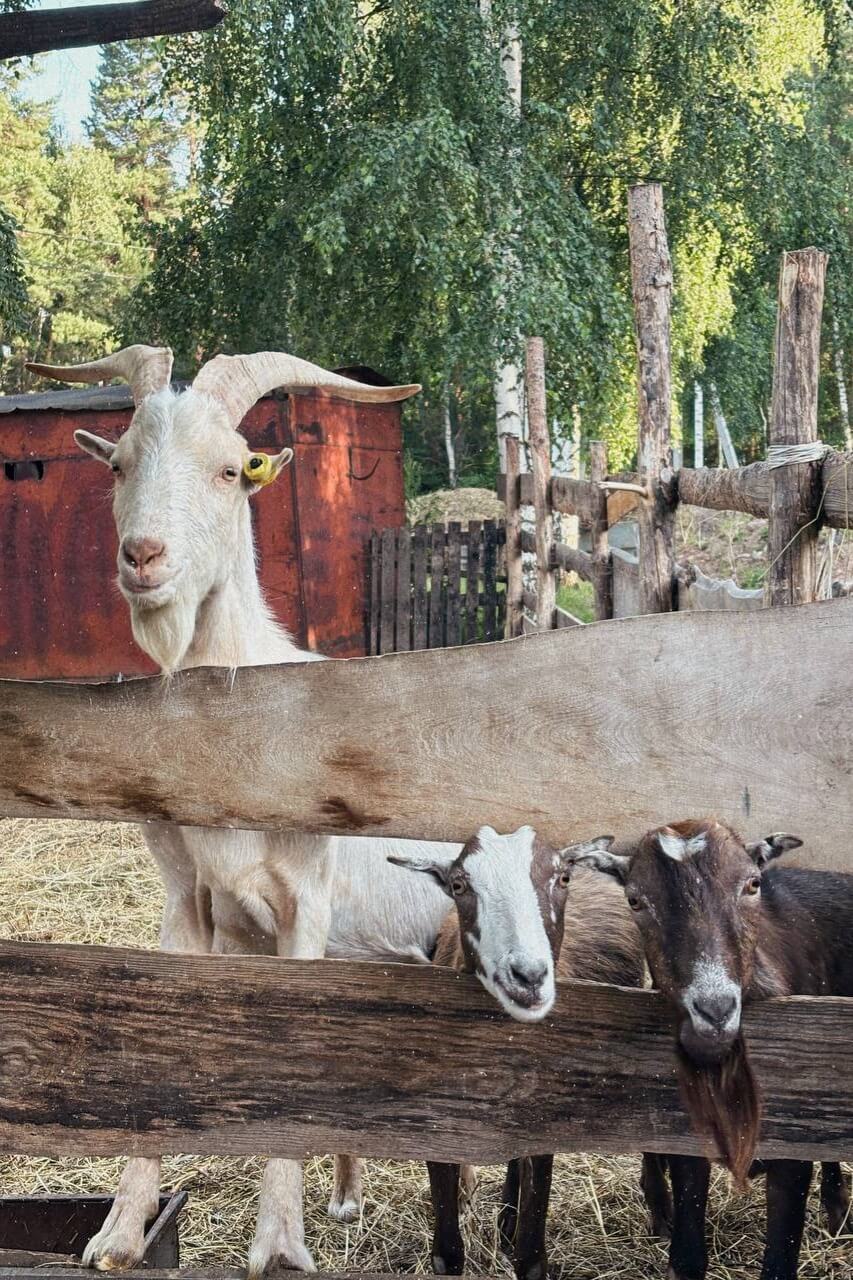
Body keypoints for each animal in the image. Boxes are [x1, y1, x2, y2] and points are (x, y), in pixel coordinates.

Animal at [29, 344, 431, 1275]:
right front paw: (118, 1234)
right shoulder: (188, 900)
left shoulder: (305, 905)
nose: (143, 555)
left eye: (228, 470)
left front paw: (277, 1245)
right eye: (121, 464)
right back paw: (345, 1197)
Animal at [391, 826, 672, 1280]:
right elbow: (446, 1255)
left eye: (561, 879)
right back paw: (506, 1219)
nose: (529, 975)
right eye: (458, 885)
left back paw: (662, 1213)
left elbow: (532, 1256)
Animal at [573, 819, 853, 1280]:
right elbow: (687, 1254)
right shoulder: (688, 1140)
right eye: (635, 900)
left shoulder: (791, 1140)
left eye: (753, 884)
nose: (716, 1009)